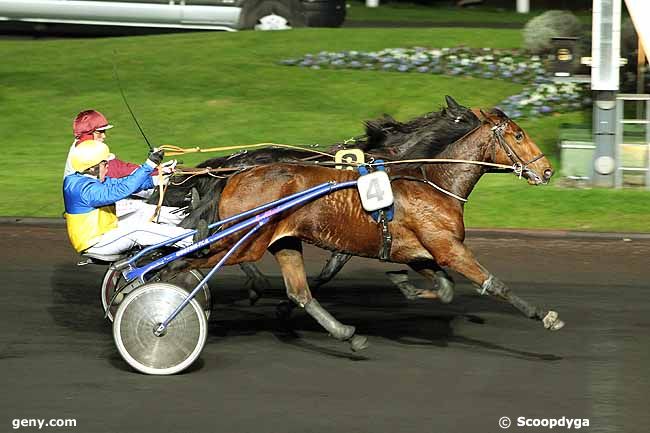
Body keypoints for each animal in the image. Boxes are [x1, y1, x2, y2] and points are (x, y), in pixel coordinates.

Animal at [175, 105, 560, 352]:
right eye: (519, 135)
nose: (547, 171)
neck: (430, 178)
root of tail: (233, 171)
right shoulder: (449, 249)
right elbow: (494, 284)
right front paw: (545, 316)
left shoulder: (418, 251)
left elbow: (444, 288)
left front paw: (404, 285)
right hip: (245, 238)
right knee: (193, 259)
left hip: (278, 240)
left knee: (298, 290)